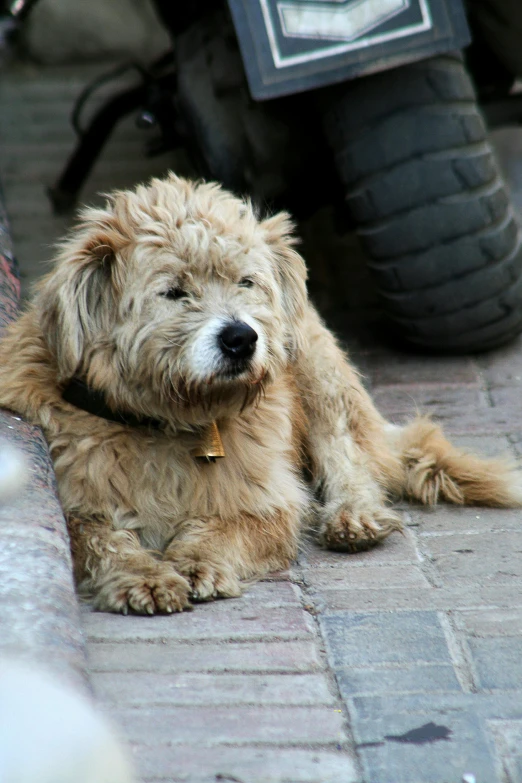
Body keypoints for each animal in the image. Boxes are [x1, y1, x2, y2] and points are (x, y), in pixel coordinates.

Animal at [1, 175, 520, 616]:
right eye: (174, 292)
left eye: (245, 282)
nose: (241, 338)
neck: (167, 421)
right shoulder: (77, 504)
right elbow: (98, 540)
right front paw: (142, 575)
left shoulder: (267, 501)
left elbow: (226, 528)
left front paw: (197, 561)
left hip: (316, 367)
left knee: (351, 456)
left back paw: (353, 514)